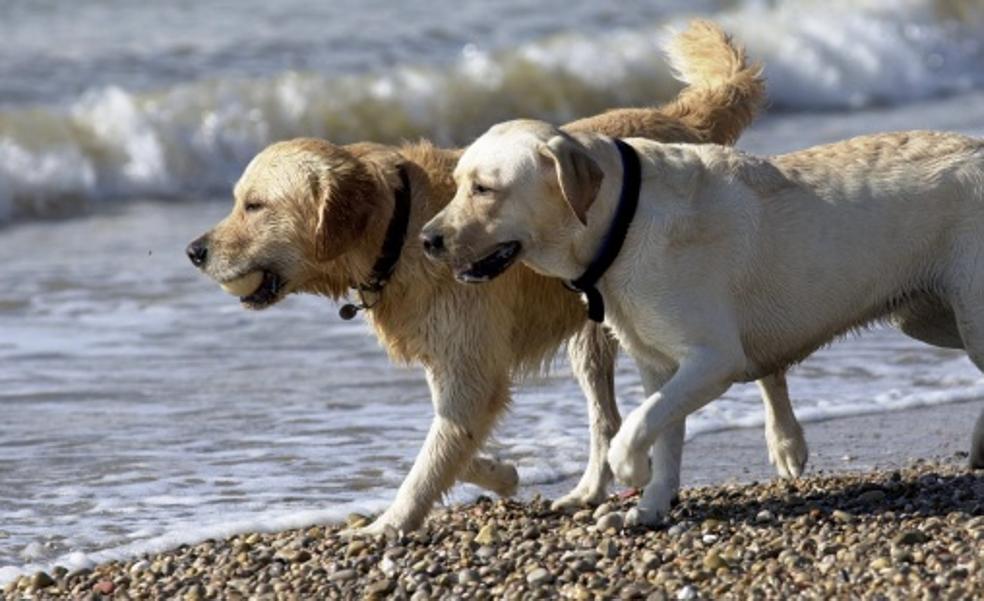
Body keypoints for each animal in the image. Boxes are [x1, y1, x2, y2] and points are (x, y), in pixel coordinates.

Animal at [184, 21, 792, 532]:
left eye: (255, 205)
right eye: (238, 201)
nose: (193, 250)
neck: (399, 229)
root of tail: (676, 117)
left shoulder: (469, 362)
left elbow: (433, 456)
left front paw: (390, 524)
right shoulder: (451, 361)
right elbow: (452, 444)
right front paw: (502, 473)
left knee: (761, 358)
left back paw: (786, 442)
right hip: (593, 334)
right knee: (606, 417)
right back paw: (588, 488)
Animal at [426, 118, 984, 524]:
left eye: (484, 189)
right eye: (456, 185)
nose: (427, 240)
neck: (622, 223)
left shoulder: (714, 359)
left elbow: (639, 423)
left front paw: (630, 468)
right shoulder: (661, 365)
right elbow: (663, 428)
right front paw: (652, 506)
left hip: (967, 315)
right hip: (926, 316)